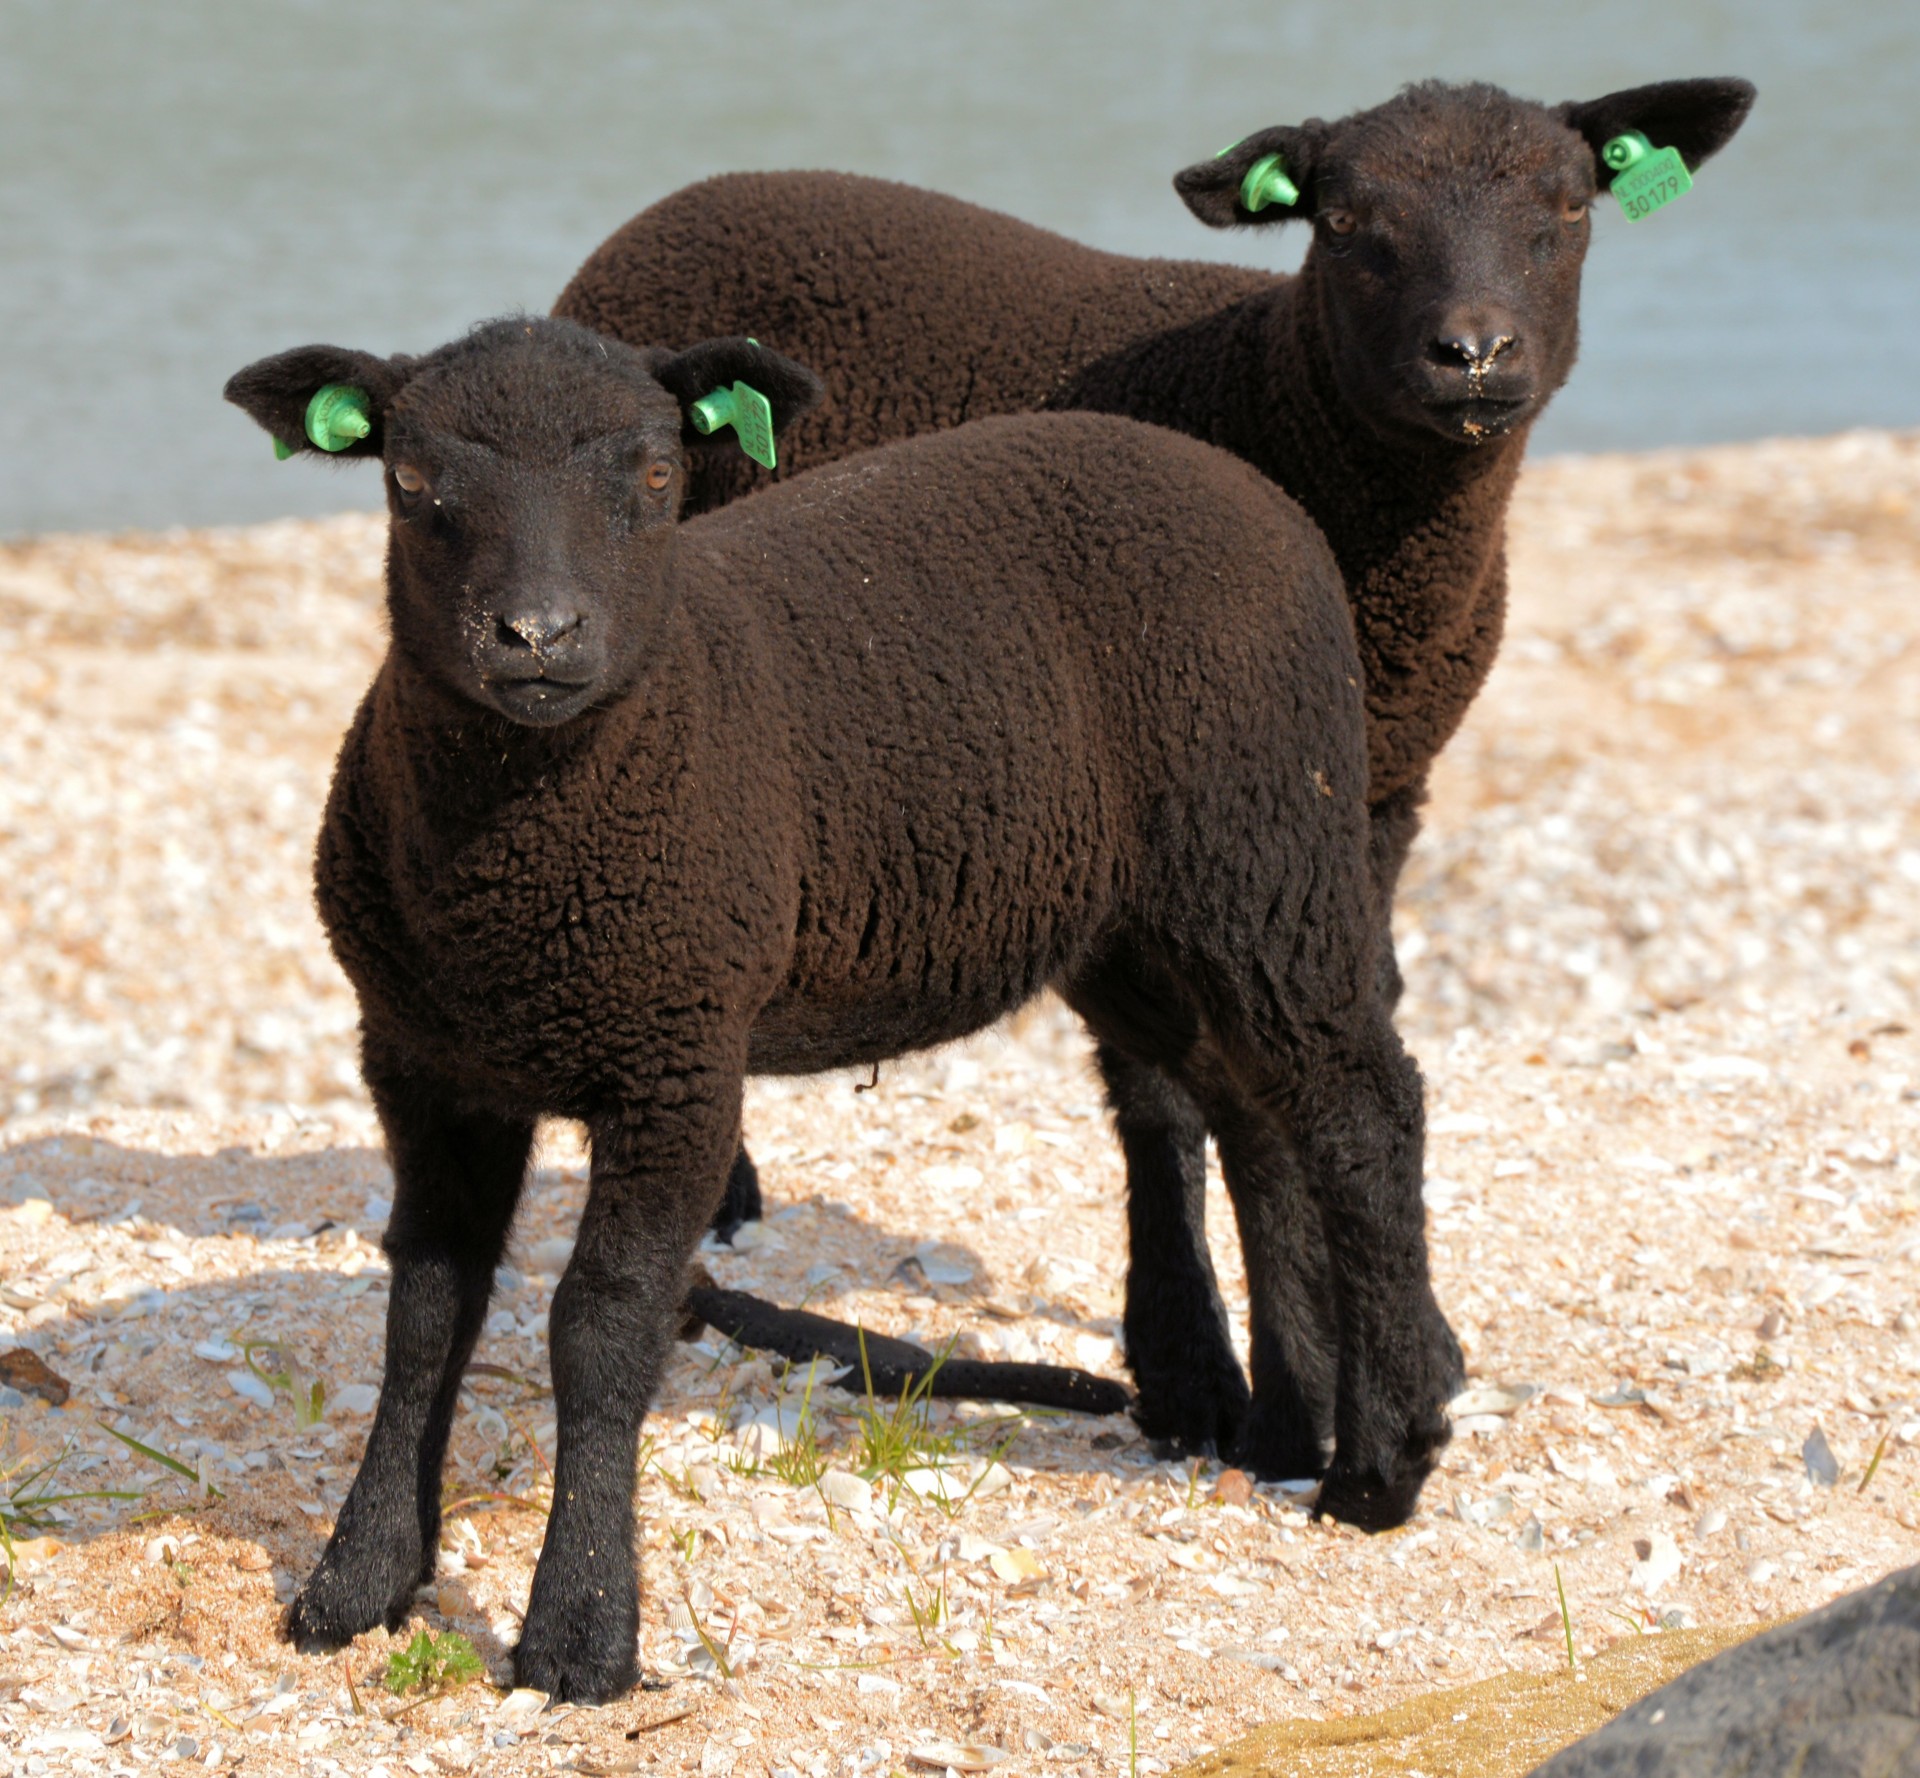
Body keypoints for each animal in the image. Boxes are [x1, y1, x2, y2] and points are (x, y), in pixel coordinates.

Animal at [220, 324, 1451, 1712]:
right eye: (412, 478)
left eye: (656, 473)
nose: (536, 634)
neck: (512, 875)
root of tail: (1252, 492)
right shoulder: (424, 1064)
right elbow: (425, 1311)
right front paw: (359, 1579)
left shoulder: (680, 1058)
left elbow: (602, 1324)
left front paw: (581, 1631)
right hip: (1142, 918)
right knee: (1257, 1110)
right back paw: (1286, 1423)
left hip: (1267, 842)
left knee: (1363, 1111)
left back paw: (1383, 1459)